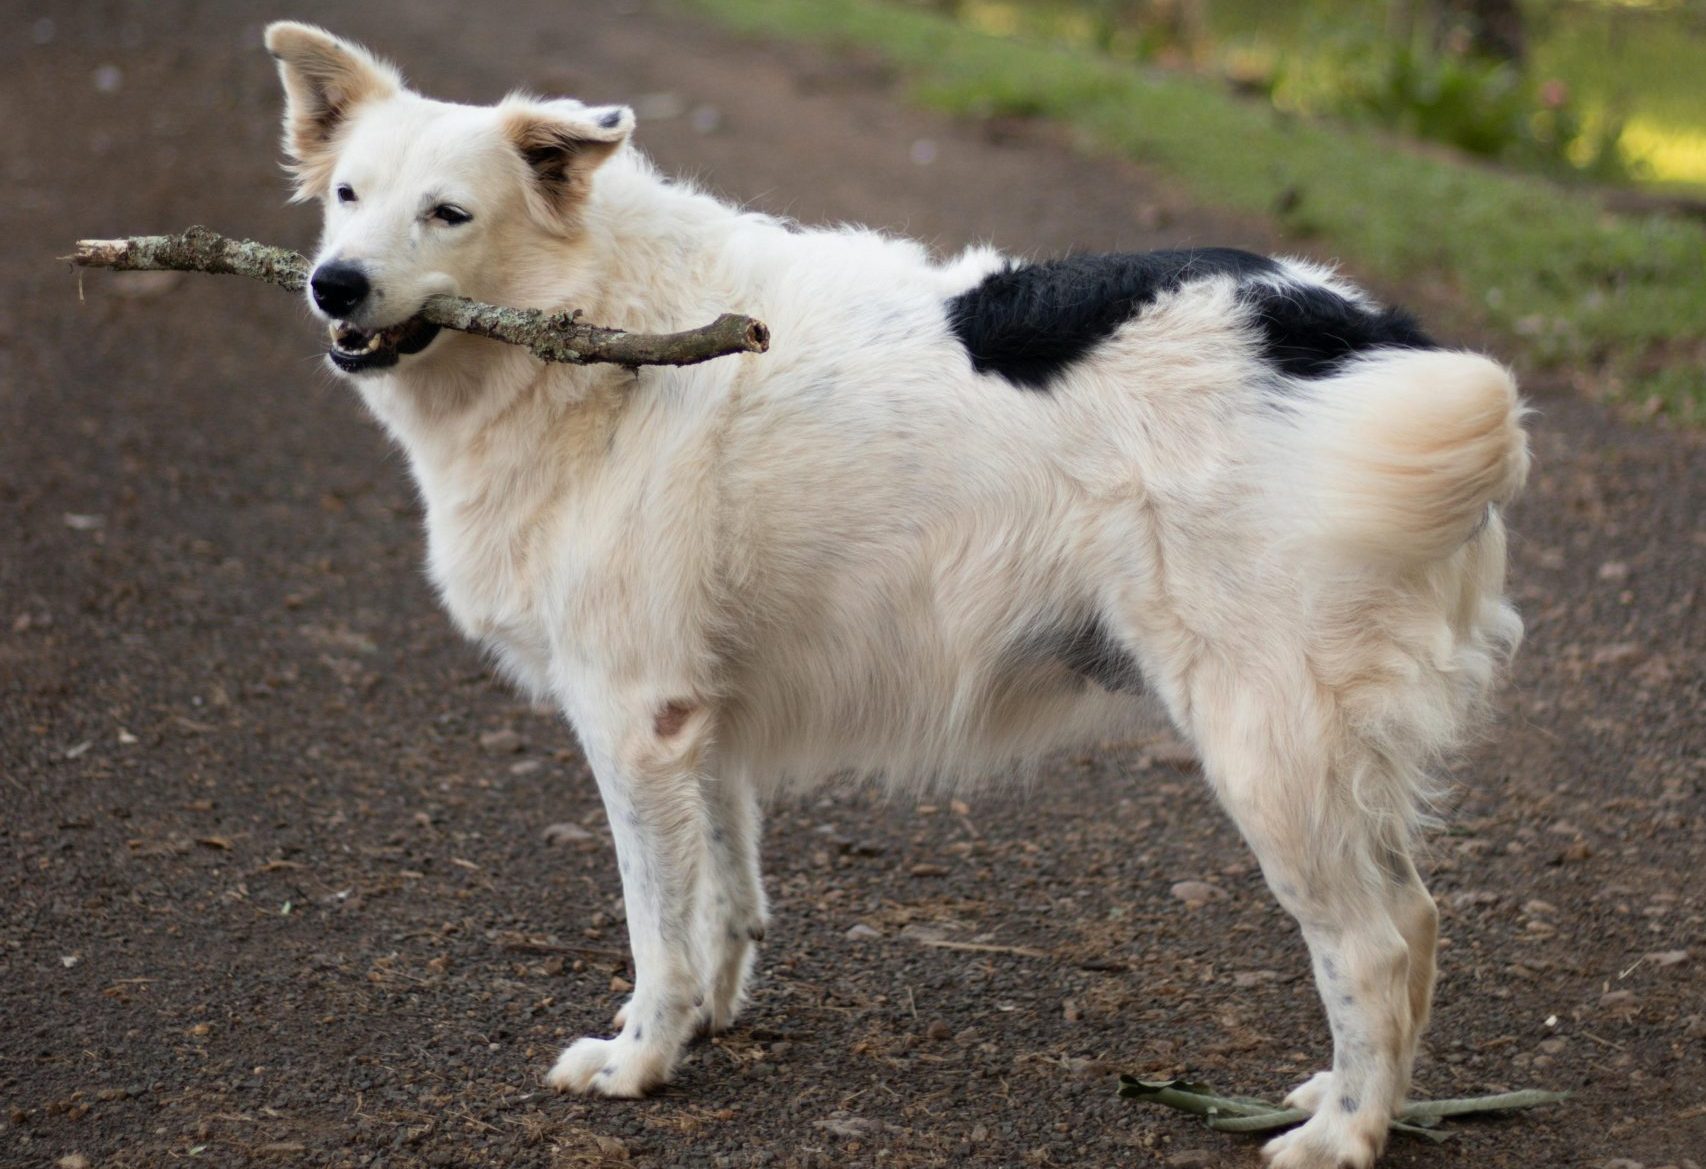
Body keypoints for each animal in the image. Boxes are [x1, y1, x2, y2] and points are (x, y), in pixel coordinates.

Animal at [266, 27, 1535, 1167]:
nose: (333, 284)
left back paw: (1342, 1133)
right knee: (1414, 919)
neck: (597, 325)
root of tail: (1360, 337)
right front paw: (703, 1019)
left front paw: (639, 1059)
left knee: (1370, 942)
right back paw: (1353, 1095)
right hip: (1324, 756)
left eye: (448, 213)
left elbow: (655, 924)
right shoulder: (697, 718)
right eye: (347, 195)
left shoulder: (633, 717)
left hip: (1266, 747)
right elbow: (722, 894)